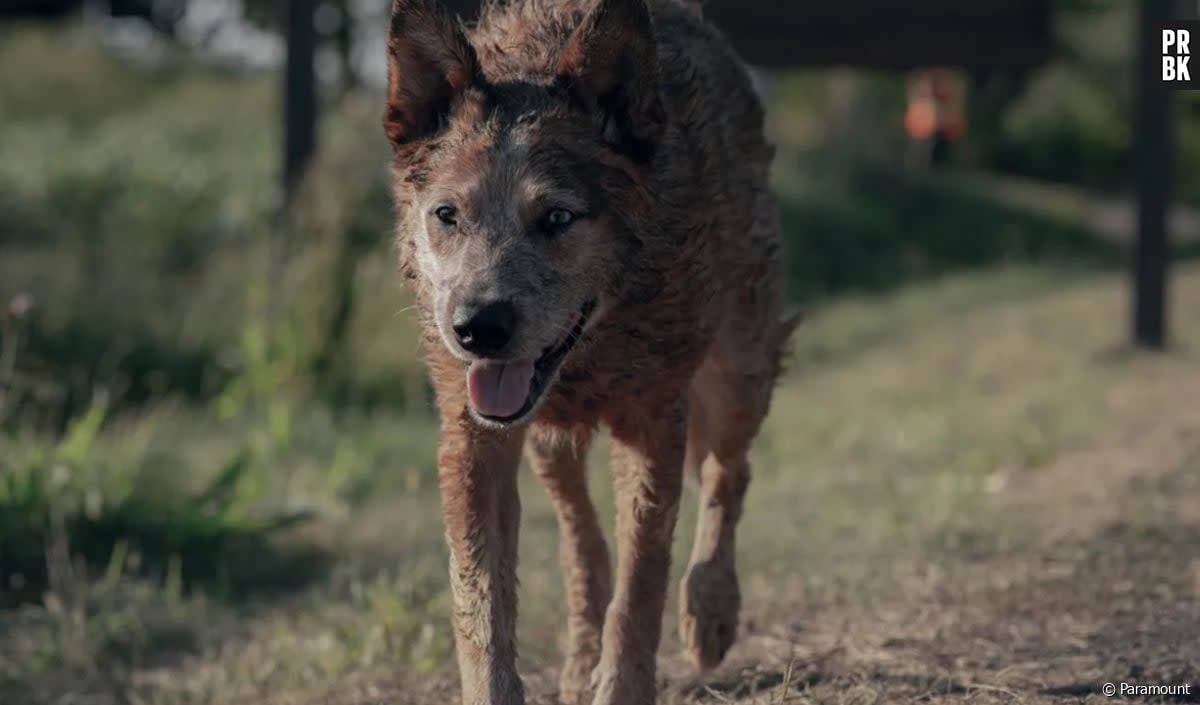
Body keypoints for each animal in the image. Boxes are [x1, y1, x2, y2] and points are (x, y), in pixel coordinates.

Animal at [384, 0, 796, 700]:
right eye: (447, 215)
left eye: (557, 218)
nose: (476, 327)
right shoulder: (473, 438)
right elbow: (480, 603)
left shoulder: (655, 420)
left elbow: (641, 583)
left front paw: (623, 683)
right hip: (550, 442)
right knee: (580, 536)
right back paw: (579, 660)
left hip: (739, 366)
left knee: (728, 471)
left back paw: (710, 610)